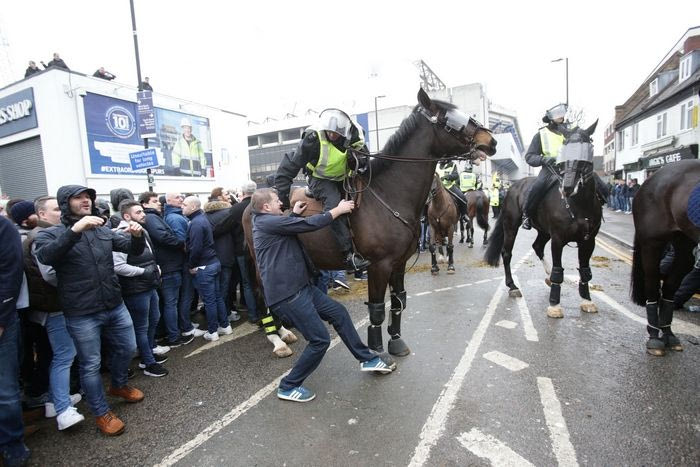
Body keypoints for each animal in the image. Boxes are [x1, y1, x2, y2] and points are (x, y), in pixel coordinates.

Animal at [243, 88, 494, 358]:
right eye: (451, 120)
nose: (491, 141)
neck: (388, 194)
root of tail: (251, 205)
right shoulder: (378, 266)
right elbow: (377, 309)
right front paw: (377, 350)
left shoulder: (398, 263)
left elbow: (398, 302)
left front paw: (396, 341)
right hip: (261, 264)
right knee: (264, 296)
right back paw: (277, 338)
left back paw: (286, 330)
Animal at [486, 121, 600, 318]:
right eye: (565, 147)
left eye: (586, 148)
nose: (568, 187)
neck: (579, 205)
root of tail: (513, 187)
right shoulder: (558, 239)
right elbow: (558, 270)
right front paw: (554, 305)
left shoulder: (588, 241)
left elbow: (585, 271)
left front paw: (587, 300)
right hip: (511, 226)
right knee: (507, 253)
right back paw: (512, 286)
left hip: (544, 231)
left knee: (537, 246)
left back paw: (546, 276)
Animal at [628, 159, 700, 356]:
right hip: (652, 242)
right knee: (653, 284)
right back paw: (654, 337)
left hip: (684, 244)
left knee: (669, 287)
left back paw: (668, 334)